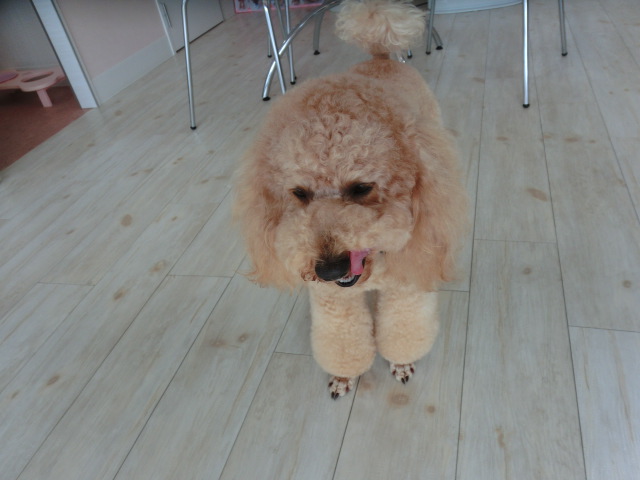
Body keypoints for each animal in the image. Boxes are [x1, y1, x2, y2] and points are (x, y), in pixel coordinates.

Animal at [235, 0, 467, 398]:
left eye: (361, 188)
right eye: (299, 194)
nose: (328, 270)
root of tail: (380, 55)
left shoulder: (405, 285)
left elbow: (403, 331)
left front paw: (401, 363)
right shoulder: (333, 301)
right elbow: (343, 343)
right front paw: (344, 377)